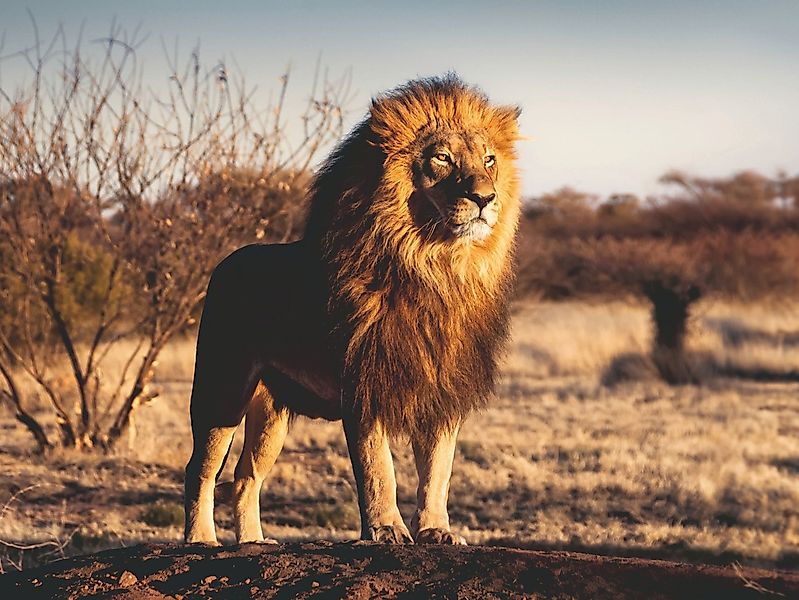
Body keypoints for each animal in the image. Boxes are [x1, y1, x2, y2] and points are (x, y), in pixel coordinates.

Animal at [184, 75, 521, 545]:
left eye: (489, 160)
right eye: (441, 158)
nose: (485, 198)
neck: (435, 268)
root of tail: (227, 260)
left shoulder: (442, 390)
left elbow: (438, 471)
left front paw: (436, 530)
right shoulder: (364, 382)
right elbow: (379, 468)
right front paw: (386, 530)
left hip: (270, 413)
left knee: (245, 475)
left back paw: (253, 541)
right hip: (222, 389)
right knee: (201, 468)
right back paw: (200, 539)